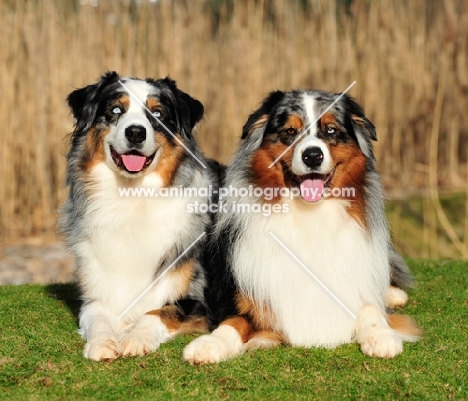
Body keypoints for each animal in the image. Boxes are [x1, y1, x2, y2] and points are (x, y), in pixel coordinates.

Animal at [60, 71, 221, 360]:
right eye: (115, 110)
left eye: (157, 114)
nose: (135, 132)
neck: (133, 196)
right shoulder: (96, 294)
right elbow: (97, 317)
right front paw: (102, 343)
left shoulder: (198, 301)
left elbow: (156, 312)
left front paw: (136, 337)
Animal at [183, 89, 420, 364]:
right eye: (289, 131)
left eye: (331, 130)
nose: (312, 156)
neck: (309, 214)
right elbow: (233, 322)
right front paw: (209, 344)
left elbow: (371, 308)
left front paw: (381, 335)